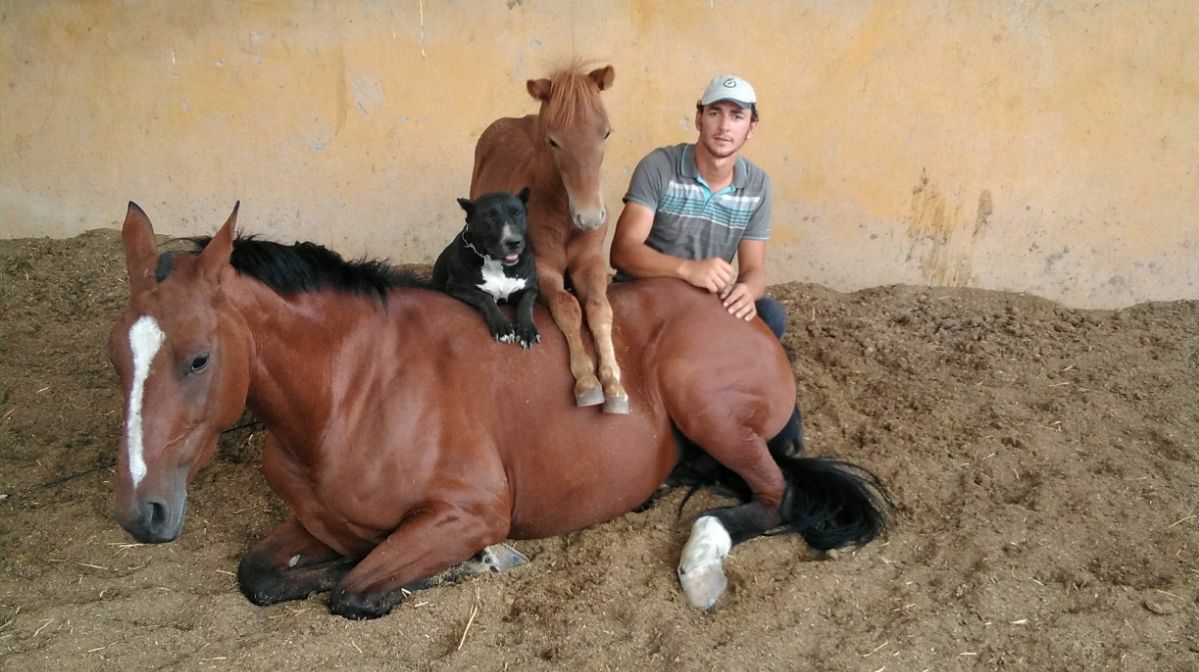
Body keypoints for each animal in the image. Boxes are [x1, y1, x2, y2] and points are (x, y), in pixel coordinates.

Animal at [431, 187, 540, 348]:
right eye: (489, 217)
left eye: (517, 212)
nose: (514, 242)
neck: (496, 263)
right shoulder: (456, 286)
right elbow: (485, 297)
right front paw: (502, 327)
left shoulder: (530, 287)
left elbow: (526, 304)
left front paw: (526, 331)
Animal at [470, 63, 629, 413]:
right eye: (553, 141)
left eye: (606, 133)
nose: (590, 218)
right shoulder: (541, 267)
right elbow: (566, 305)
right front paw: (588, 383)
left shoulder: (592, 263)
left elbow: (599, 307)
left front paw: (614, 385)